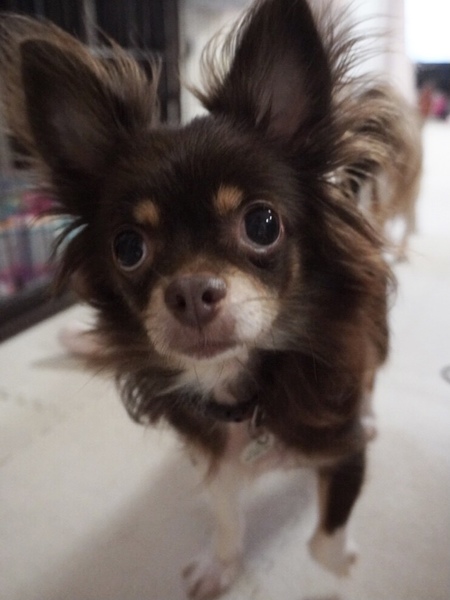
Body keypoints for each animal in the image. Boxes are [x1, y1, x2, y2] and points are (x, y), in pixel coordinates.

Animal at [0, 2, 397, 597]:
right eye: (127, 247)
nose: (189, 292)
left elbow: (324, 542)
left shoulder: (342, 448)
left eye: (262, 224)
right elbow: (226, 514)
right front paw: (221, 564)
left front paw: (344, 560)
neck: (242, 394)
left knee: (370, 374)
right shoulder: (215, 457)